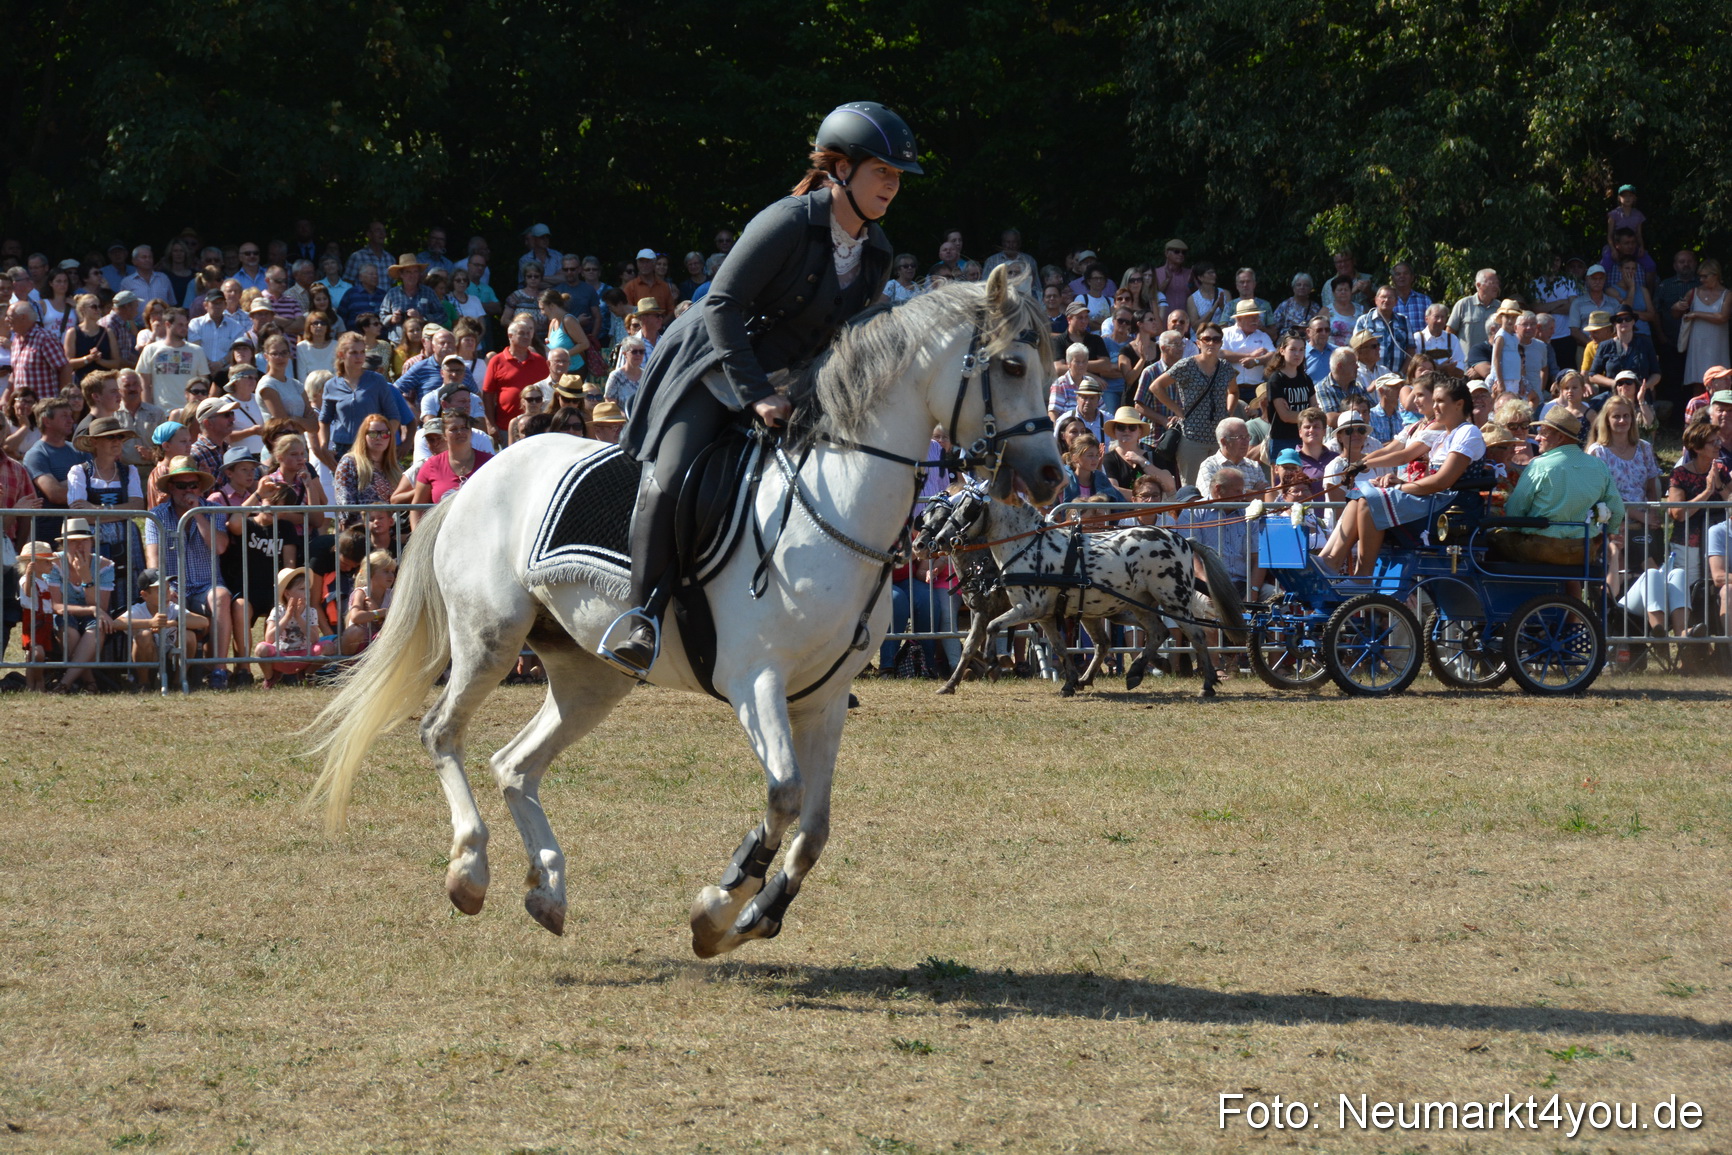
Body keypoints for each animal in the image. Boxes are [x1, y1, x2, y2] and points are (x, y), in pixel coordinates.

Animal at [305, 265, 1066, 958]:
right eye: (1012, 364)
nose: (1052, 474)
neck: (831, 504)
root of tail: (477, 479)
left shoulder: (824, 697)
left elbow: (814, 828)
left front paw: (754, 917)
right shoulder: (754, 681)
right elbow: (784, 797)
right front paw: (719, 905)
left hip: (589, 675)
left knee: (516, 764)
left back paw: (549, 890)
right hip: (490, 638)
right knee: (441, 733)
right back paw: (469, 870)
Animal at [924, 488, 1248, 698]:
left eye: (969, 508)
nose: (940, 539)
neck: (1026, 547)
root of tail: (1182, 539)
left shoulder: (1026, 609)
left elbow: (992, 628)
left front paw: (992, 660)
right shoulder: (1043, 615)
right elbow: (1058, 647)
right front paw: (1068, 683)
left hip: (1173, 601)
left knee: (1196, 635)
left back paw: (1207, 684)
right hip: (1137, 605)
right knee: (1155, 633)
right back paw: (1133, 673)